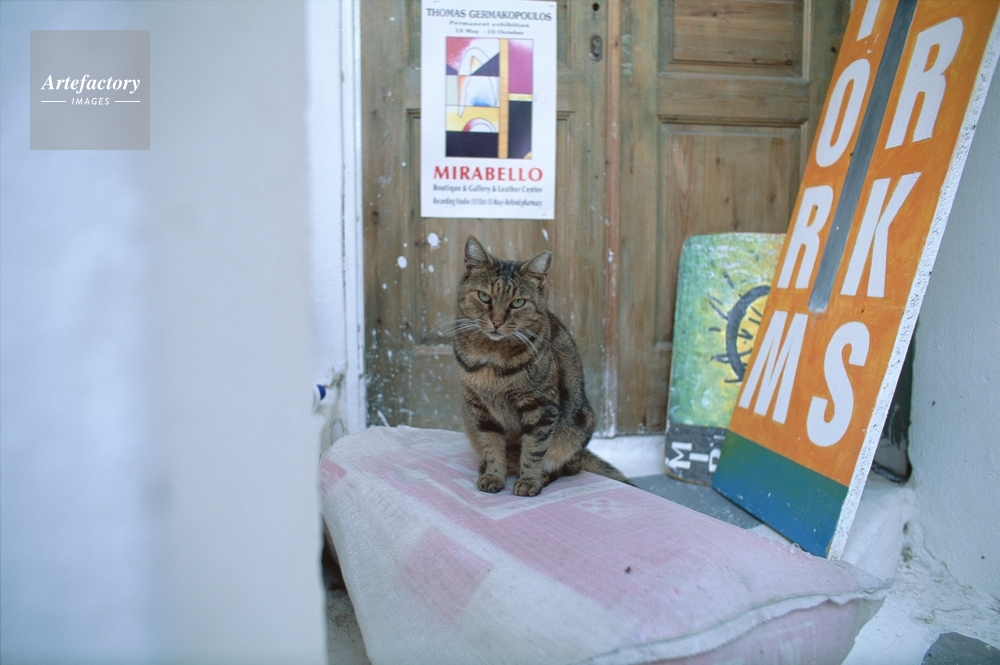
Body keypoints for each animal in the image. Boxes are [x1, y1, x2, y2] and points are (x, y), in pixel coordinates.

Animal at [453, 236, 631, 496]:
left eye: (518, 303)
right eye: (484, 297)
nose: (497, 321)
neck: (491, 356)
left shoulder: (541, 405)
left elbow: (534, 448)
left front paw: (529, 480)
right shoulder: (480, 408)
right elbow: (492, 444)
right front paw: (494, 475)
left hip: (578, 426)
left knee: (567, 466)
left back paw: (542, 475)